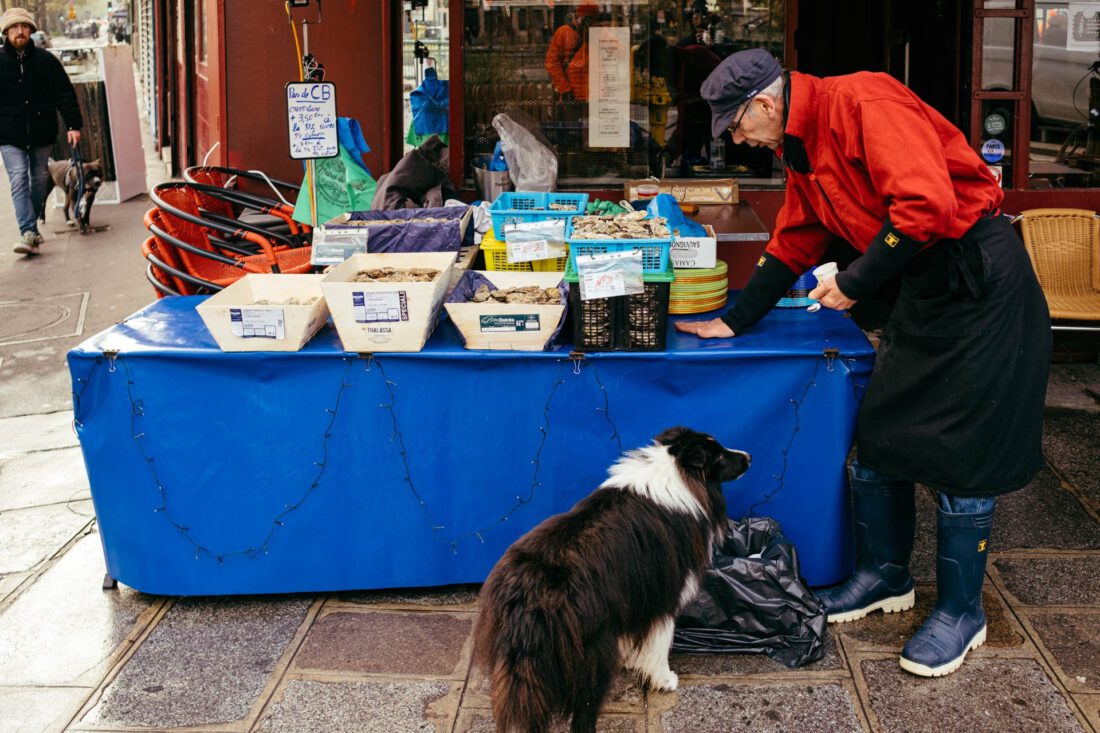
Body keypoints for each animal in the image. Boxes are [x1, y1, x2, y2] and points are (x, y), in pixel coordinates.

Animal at [473, 422, 748, 730]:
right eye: (720, 456)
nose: (749, 457)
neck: (676, 471)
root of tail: (528, 591)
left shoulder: (635, 595)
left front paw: (632, 659)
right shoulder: (664, 596)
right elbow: (660, 644)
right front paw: (665, 680)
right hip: (592, 654)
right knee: (584, 710)